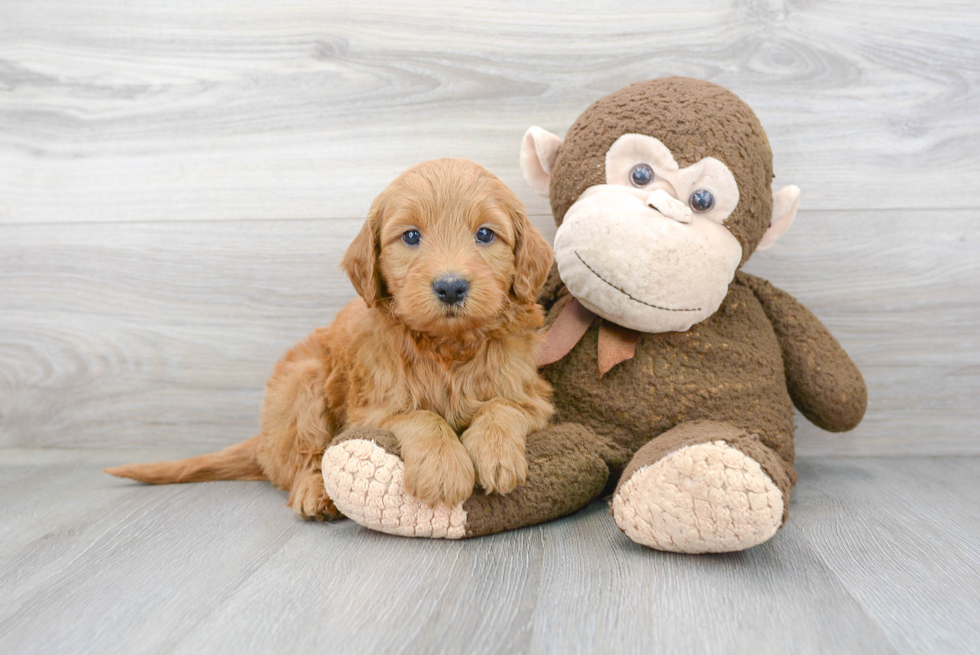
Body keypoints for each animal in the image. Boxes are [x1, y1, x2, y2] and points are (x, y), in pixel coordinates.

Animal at [106, 159, 556, 516]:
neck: (447, 346)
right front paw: (443, 469)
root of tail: (262, 441)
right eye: (411, 236)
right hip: (306, 382)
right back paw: (315, 493)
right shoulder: (371, 409)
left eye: (485, 235)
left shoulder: (532, 396)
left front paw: (496, 454)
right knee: (304, 461)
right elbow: (421, 416)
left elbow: (502, 406)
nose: (450, 287)